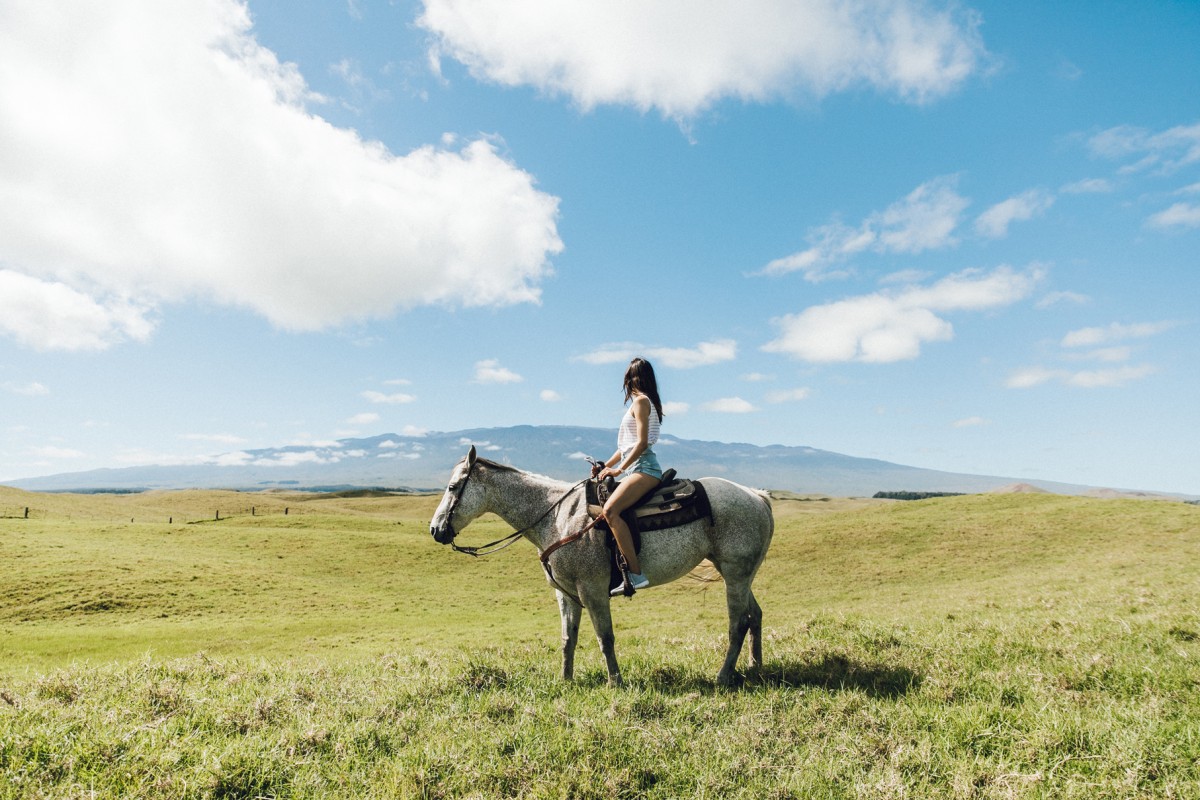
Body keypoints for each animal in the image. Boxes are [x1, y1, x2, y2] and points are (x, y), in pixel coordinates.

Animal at [427, 448, 772, 686]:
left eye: (454, 487)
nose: (435, 530)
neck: (557, 517)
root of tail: (756, 495)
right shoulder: (565, 594)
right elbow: (568, 639)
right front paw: (565, 680)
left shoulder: (592, 590)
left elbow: (604, 637)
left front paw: (615, 682)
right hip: (739, 574)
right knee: (754, 615)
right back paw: (754, 668)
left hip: (734, 574)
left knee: (738, 623)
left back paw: (723, 676)